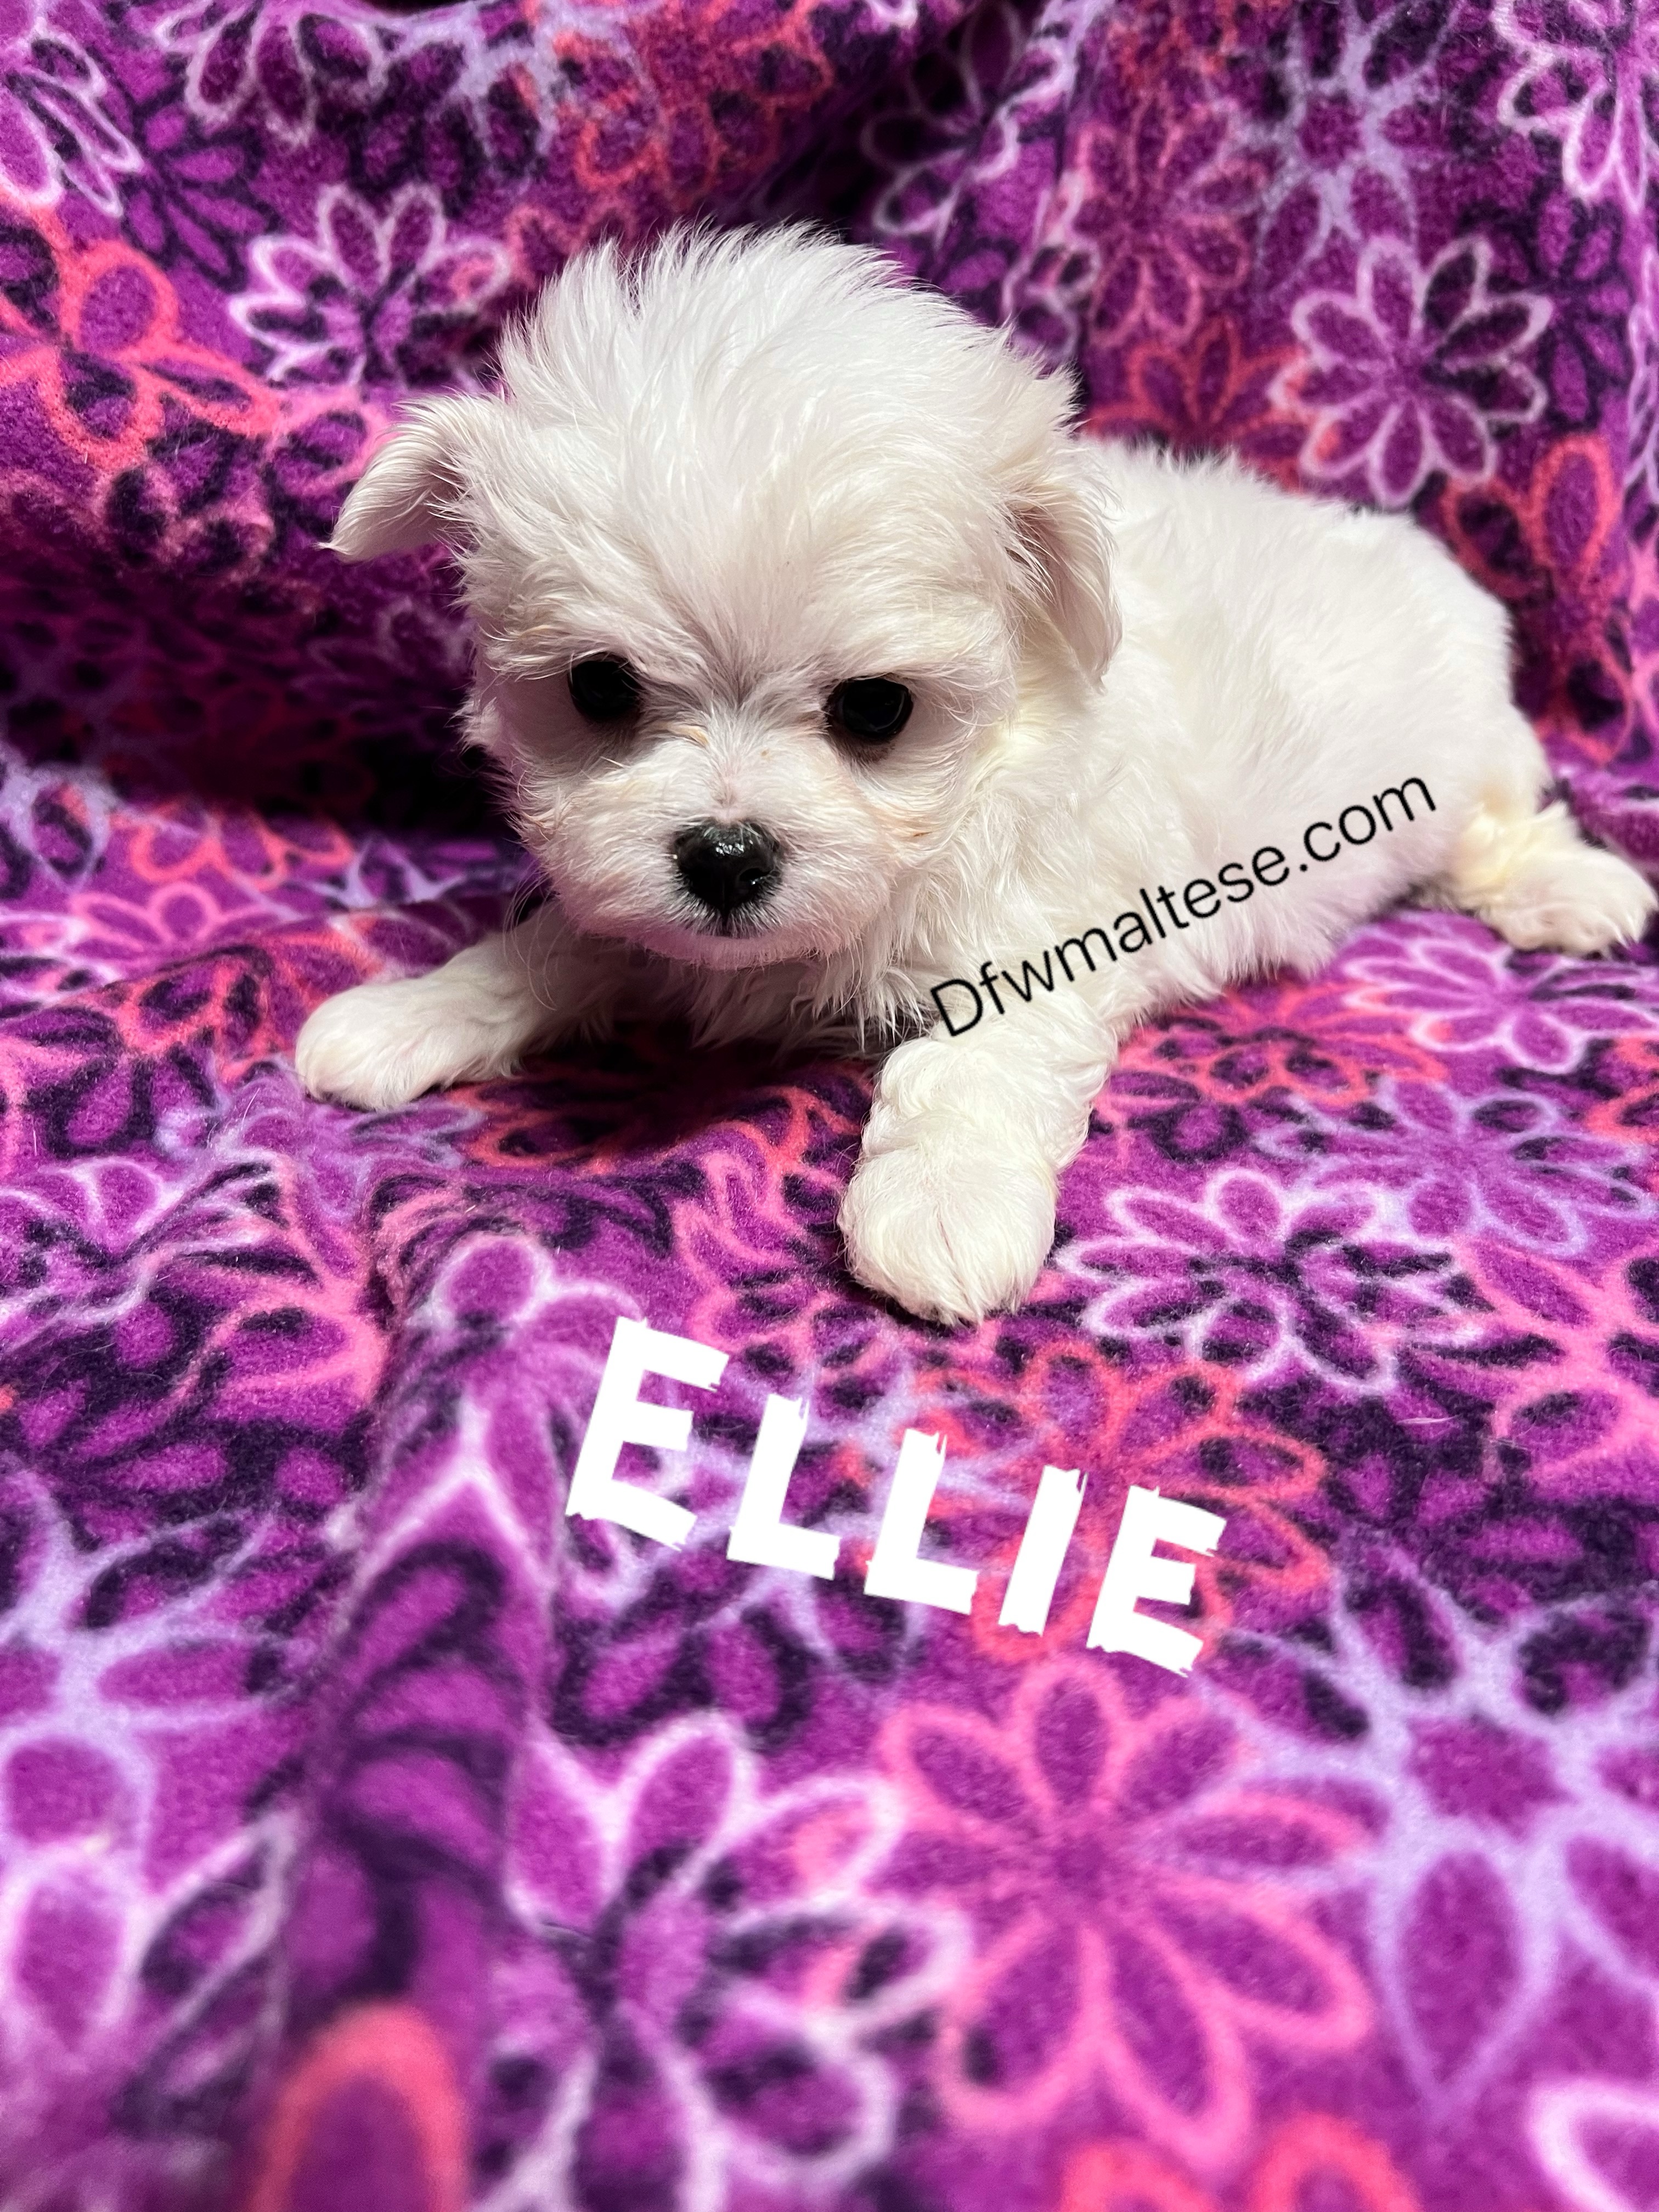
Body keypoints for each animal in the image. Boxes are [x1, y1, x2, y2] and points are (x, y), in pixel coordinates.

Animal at [295, 223, 1656, 1324]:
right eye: (600, 689)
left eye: (876, 710)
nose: (727, 859)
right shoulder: (642, 904)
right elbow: (553, 945)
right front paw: (407, 1014)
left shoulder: (1048, 933)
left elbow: (970, 1069)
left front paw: (945, 1209)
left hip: (1465, 751)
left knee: (1498, 826)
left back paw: (1573, 891)